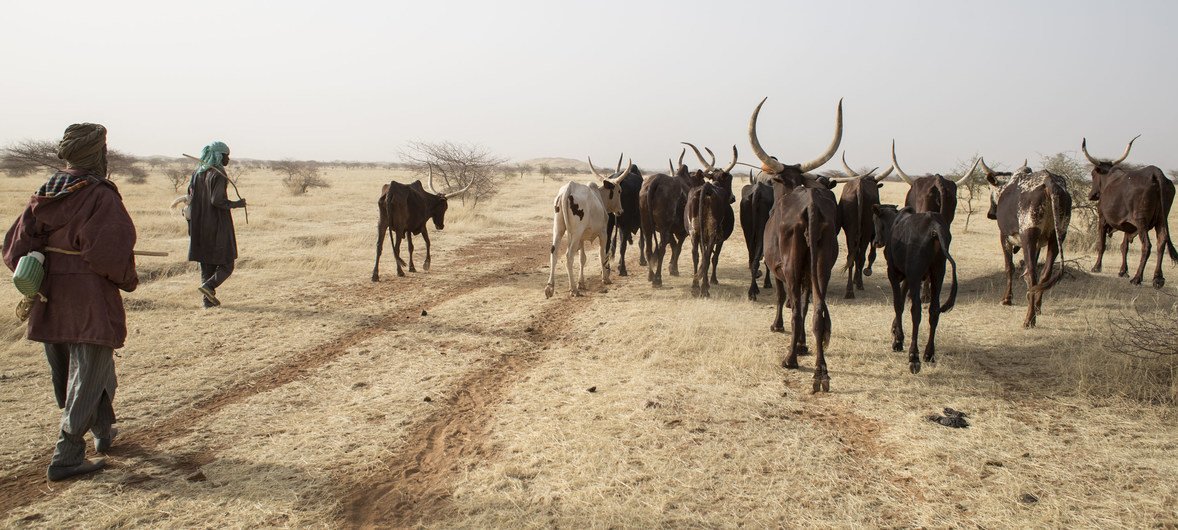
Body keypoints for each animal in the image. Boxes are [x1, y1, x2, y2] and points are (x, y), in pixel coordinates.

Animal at [749, 95, 843, 393]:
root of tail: (811, 206)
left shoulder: (777, 268)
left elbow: (784, 299)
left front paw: (778, 327)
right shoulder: (806, 276)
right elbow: (803, 305)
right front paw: (802, 344)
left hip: (791, 269)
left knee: (798, 311)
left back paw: (790, 359)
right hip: (822, 269)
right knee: (817, 313)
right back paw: (821, 373)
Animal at [829, 150, 890, 297]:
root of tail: (859, 187)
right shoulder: (873, 234)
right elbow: (871, 254)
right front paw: (863, 274)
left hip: (850, 230)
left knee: (851, 256)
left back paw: (850, 290)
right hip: (866, 230)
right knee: (860, 256)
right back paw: (858, 285)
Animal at [876, 204, 956, 374]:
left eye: (876, 221)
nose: (876, 241)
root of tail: (934, 227)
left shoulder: (894, 273)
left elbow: (898, 304)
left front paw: (898, 340)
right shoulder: (908, 277)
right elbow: (901, 299)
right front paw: (895, 329)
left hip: (916, 275)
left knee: (916, 311)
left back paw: (914, 357)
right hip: (938, 273)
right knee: (934, 310)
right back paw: (929, 353)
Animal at [980, 157, 1074, 327]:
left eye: (990, 188)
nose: (990, 214)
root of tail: (1050, 182)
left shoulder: (1004, 237)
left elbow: (1009, 268)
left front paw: (1007, 299)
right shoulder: (1038, 245)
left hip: (1028, 235)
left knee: (1032, 274)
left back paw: (1029, 319)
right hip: (1058, 237)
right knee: (1044, 274)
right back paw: (1036, 307)